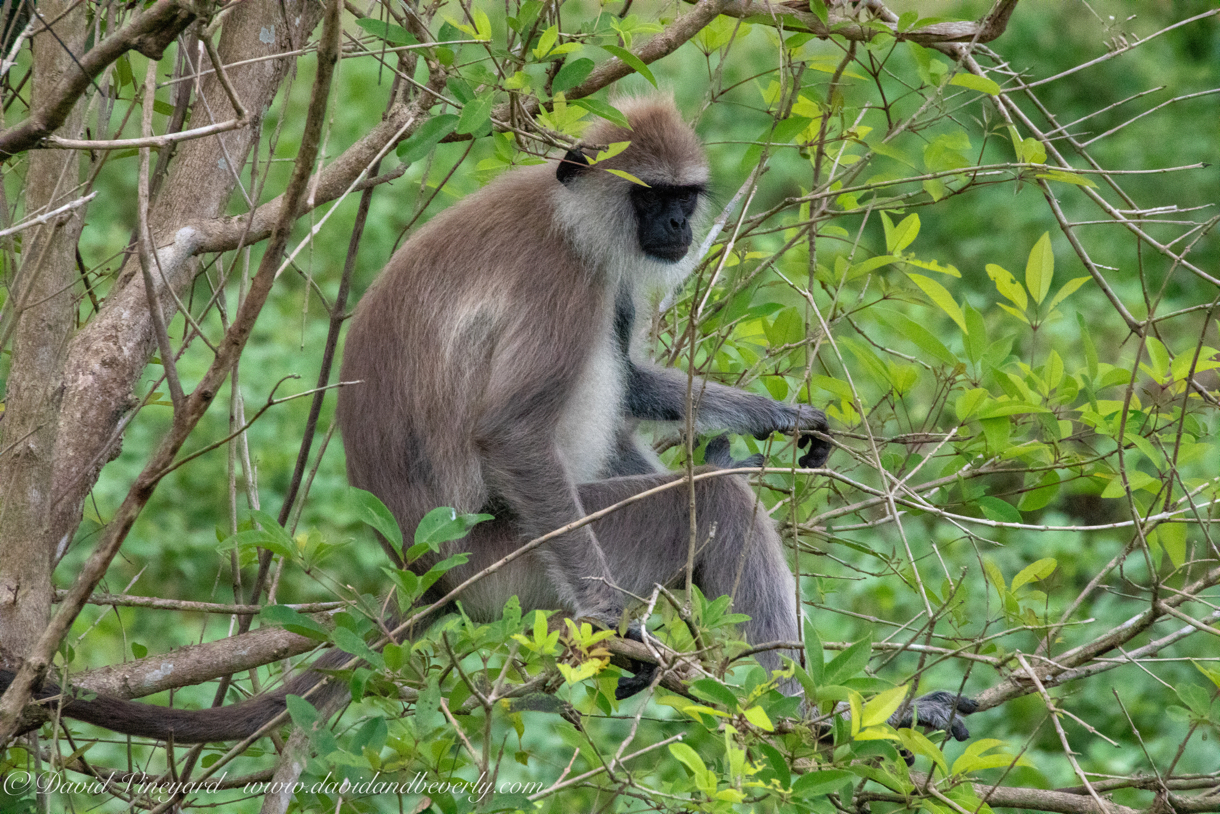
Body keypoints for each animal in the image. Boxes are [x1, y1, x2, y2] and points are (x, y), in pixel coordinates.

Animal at [0, 95, 971, 746]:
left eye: (684, 197)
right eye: (649, 195)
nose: (673, 224)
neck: (565, 213)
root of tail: (428, 569)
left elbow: (631, 382)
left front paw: (772, 414)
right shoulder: (564, 278)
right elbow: (512, 433)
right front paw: (616, 628)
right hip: (514, 571)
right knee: (709, 507)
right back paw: (810, 722)